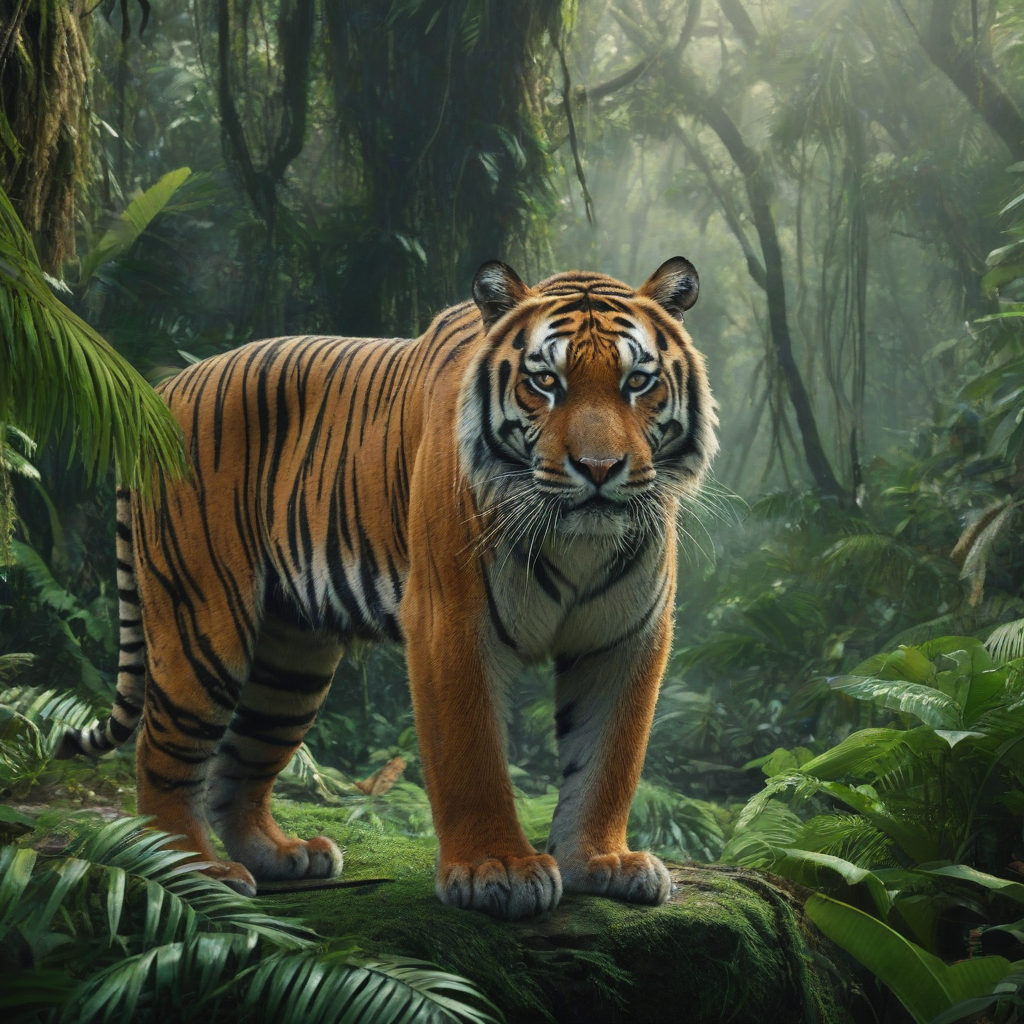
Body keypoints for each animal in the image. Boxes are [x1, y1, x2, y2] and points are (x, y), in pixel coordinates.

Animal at [59, 257, 717, 920]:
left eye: (637, 382)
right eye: (545, 383)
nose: (600, 469)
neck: (575, 542)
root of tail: (166, 389)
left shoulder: (625, 637)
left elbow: (609, 759)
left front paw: (600, 861)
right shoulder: (451, 622)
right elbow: (472, 753)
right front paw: (497, 869)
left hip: (290, 664)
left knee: (238, 767)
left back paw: (283, 856)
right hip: (201, 624)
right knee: (161, 753)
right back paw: (193, 870)